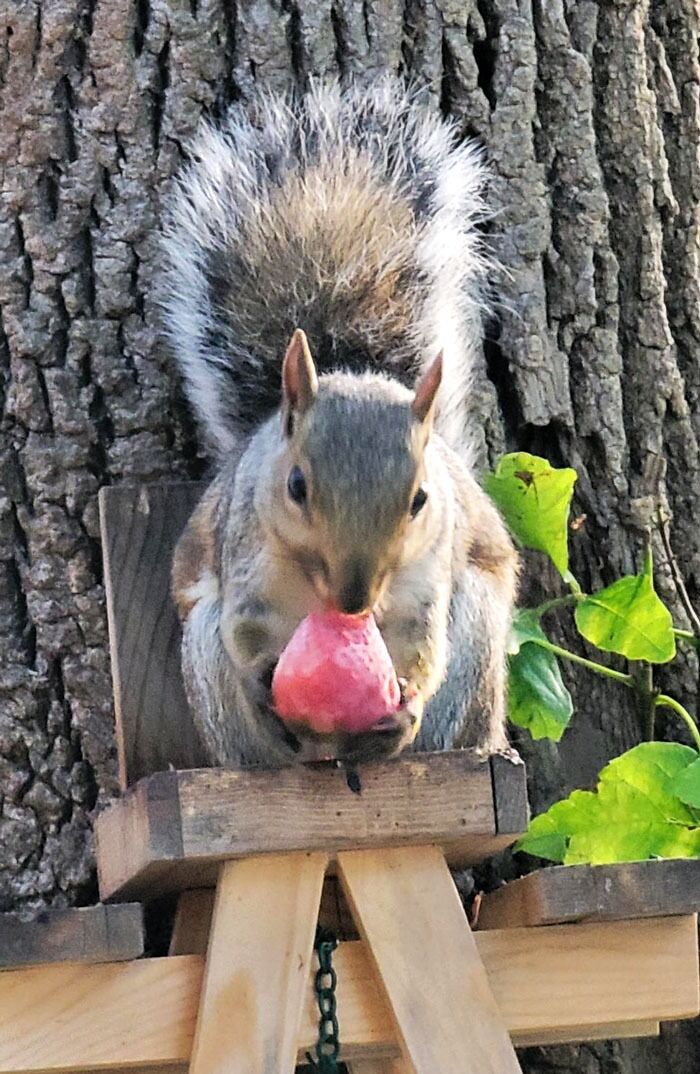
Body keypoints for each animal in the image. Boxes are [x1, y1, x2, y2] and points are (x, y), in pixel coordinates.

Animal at [159, 77, 519, 764]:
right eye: (295, 487)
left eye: (420, 499)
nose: (355, 601)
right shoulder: (248, 555)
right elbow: (246, 630)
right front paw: (264, 689)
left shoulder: (426, 577)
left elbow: (423, 644)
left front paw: (404, 709)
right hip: (207, 672)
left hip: (477, 643)